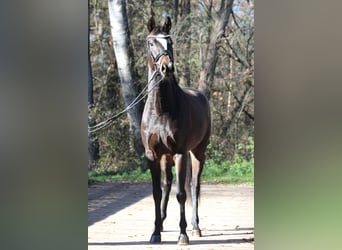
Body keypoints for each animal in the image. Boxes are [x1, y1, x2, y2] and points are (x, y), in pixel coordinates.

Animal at [140, 16, 210, 245]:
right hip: (166, 157)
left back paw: (195, 227)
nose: (167, 68)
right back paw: (161, 222)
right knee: (167, 184)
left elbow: (181, 194)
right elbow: (156, 192)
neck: (161, 109)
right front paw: (155, 232)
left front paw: (183, 234)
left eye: (169, 42)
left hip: (197, 153)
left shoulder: (180, 153)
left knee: (194, 187)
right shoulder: (152, 155)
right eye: (151, 42)